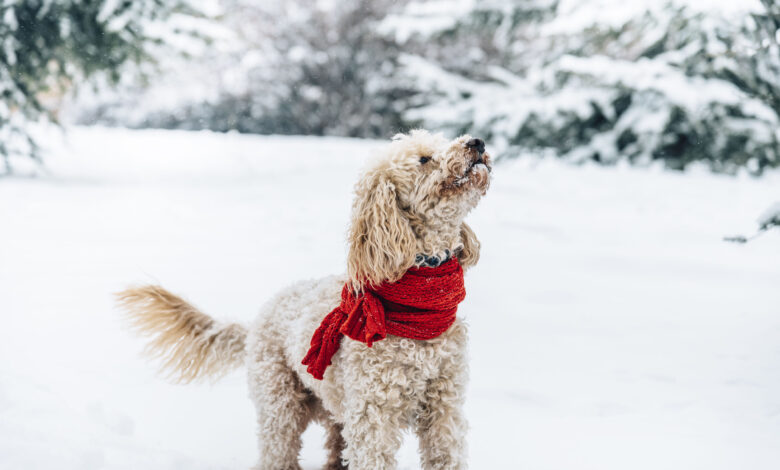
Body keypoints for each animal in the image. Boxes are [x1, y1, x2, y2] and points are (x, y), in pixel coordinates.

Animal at [116, 129, 490, 470]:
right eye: (424, 159)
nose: (477, 142)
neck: (422, 301)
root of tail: (257, 320)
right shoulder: (373, 415)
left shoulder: (444, 407)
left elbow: (446, 454)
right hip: (280, 404)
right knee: (278, 451)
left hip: (334, 409)